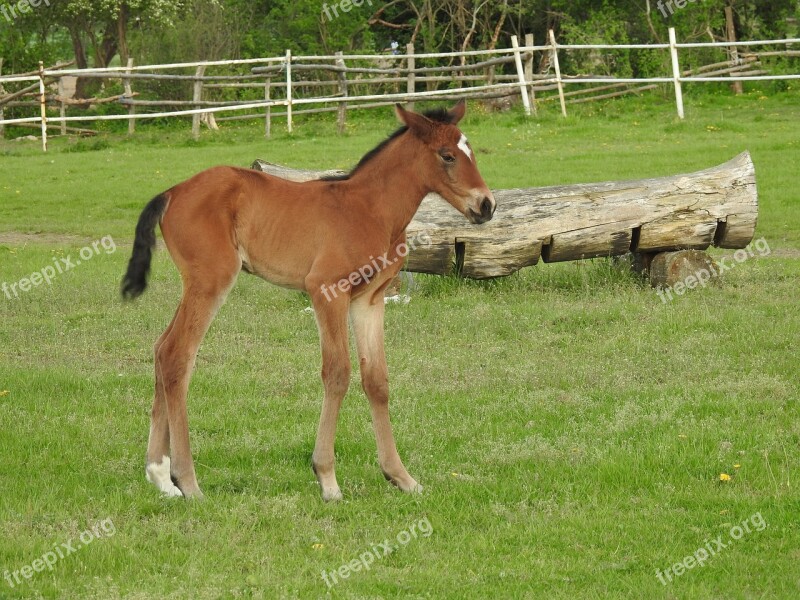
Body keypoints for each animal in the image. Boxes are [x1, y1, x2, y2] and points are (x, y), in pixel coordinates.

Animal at [120, 101, 494, 500]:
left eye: (470, 151)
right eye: (447, 155)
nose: (487, 205)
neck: (370, 208)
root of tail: (172, 192)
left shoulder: (370, 300)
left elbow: (376, 380)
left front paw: (400, 476)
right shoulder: (326, 291)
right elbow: (338, 373)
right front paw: (327, 479)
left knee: (162, 349)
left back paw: (161, 476)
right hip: (211, 280)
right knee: (178, 354)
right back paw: (188, 482)